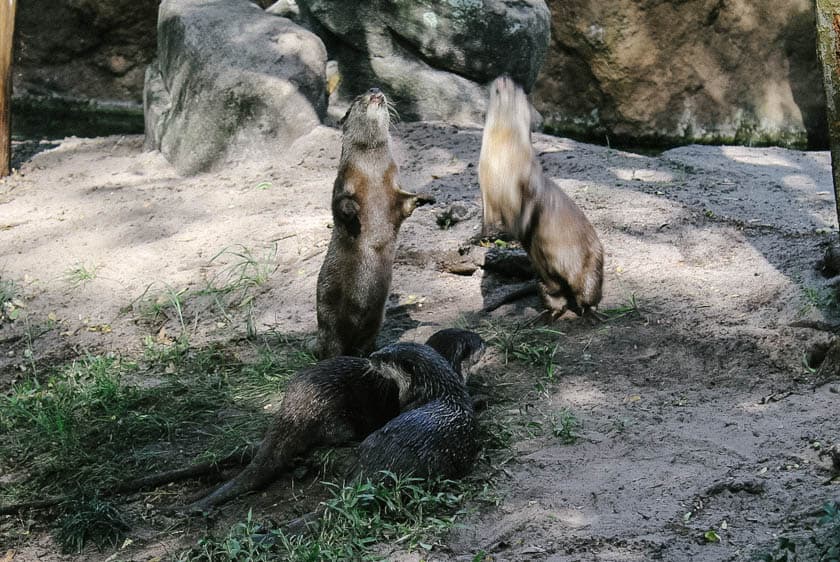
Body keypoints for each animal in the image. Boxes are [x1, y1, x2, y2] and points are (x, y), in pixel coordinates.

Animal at [316, 87, 434, 358]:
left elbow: (406, 203)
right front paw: (353, 209)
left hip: (375, 320)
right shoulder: (343, 181)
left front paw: (425, 196)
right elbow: (338, 205)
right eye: (358, 97)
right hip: (328, 309)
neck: (372, 172)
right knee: (332, 341)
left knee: (364, 340)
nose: (374, 89)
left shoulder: (394, 187)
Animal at [480, 76, 604, 318]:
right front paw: (487, 231)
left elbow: (531, 206)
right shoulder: (485, 187)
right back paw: (548, 315)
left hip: (592, 263)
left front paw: (521, 228)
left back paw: (590, 312)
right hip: (544, 279)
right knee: (557, 296)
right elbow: (486, 211)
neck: (501, 157)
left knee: (587, 292)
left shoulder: (529, 181)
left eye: (516, 88)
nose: (504, 77)